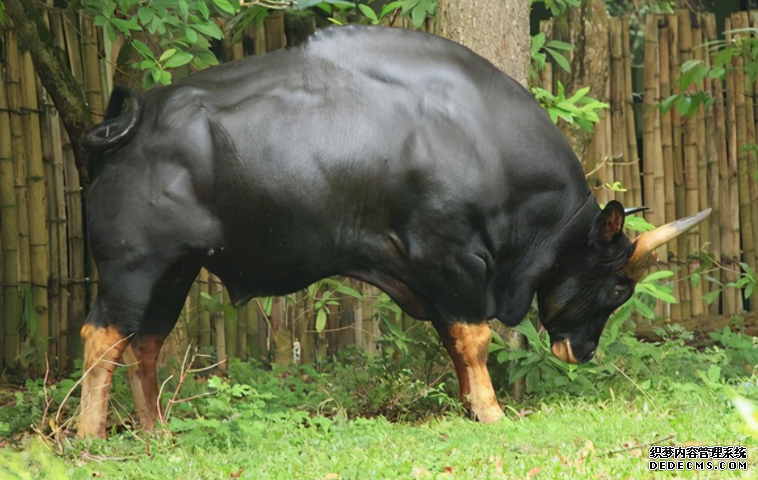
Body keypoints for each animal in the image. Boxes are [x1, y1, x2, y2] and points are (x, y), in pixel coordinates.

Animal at [77, 27, 712, 438]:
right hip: (133, 265)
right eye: (619, 287)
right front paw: (491, 412)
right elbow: (475, 337)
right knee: (102, 337)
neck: (484, 141)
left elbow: (455, 341)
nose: (581, 351)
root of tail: (132, 122)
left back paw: (157, 432)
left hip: (176, 267)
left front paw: (470, 406)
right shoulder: (451, 257)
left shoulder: (432, 276)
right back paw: (88, 438)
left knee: (147, 343)